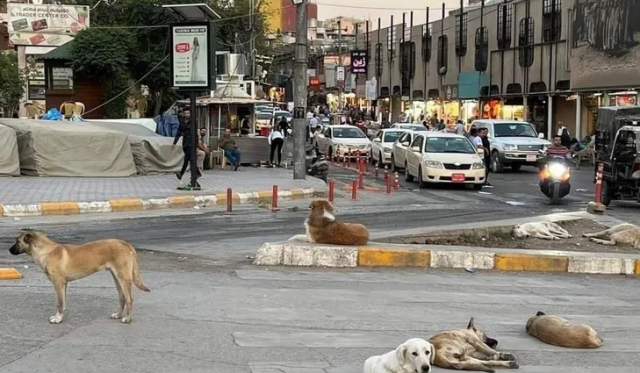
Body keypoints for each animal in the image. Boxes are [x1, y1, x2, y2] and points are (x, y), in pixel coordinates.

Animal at [9, 228, 149, 324]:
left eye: (17, 241)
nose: (9, 250)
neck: (46, 251)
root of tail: (127, 244)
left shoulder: (58, 283)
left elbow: (59, 303)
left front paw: (57, 318)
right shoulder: (64, 284)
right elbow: (63, 303)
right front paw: (61, 316)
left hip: (123, 278)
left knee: (129, 299)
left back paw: (128, 319)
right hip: (117, 278)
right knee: (122, 298)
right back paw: (118, 315)